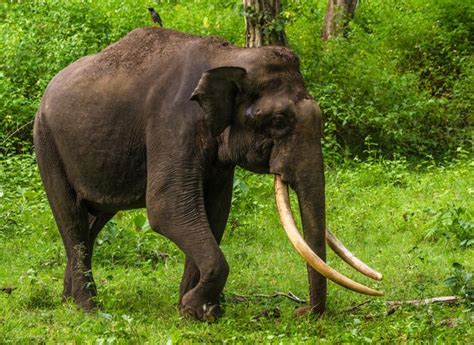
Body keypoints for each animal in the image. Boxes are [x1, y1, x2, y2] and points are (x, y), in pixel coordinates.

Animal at [34, 26, 382, 320]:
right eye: (279, 121)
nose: (302, 312)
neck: (230, 57)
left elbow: (214, 212)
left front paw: (196, 312)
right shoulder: (173, 123)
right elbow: (168, 208)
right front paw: (196, 307)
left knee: (92, 222)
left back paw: (68, 300)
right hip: (47, 144)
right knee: (72, 219)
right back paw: (88, 309)